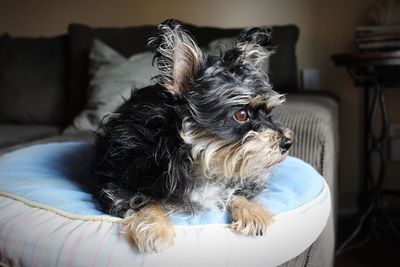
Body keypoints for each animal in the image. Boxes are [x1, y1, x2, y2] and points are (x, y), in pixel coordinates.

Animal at [89, 19, 292, 254]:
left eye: (270, 113)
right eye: (241, 115)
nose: (288, 142)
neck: (199, 159)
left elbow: (236, 190)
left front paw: (251, 211)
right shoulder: (114, 183)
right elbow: (143, 200)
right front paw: (156, 228)